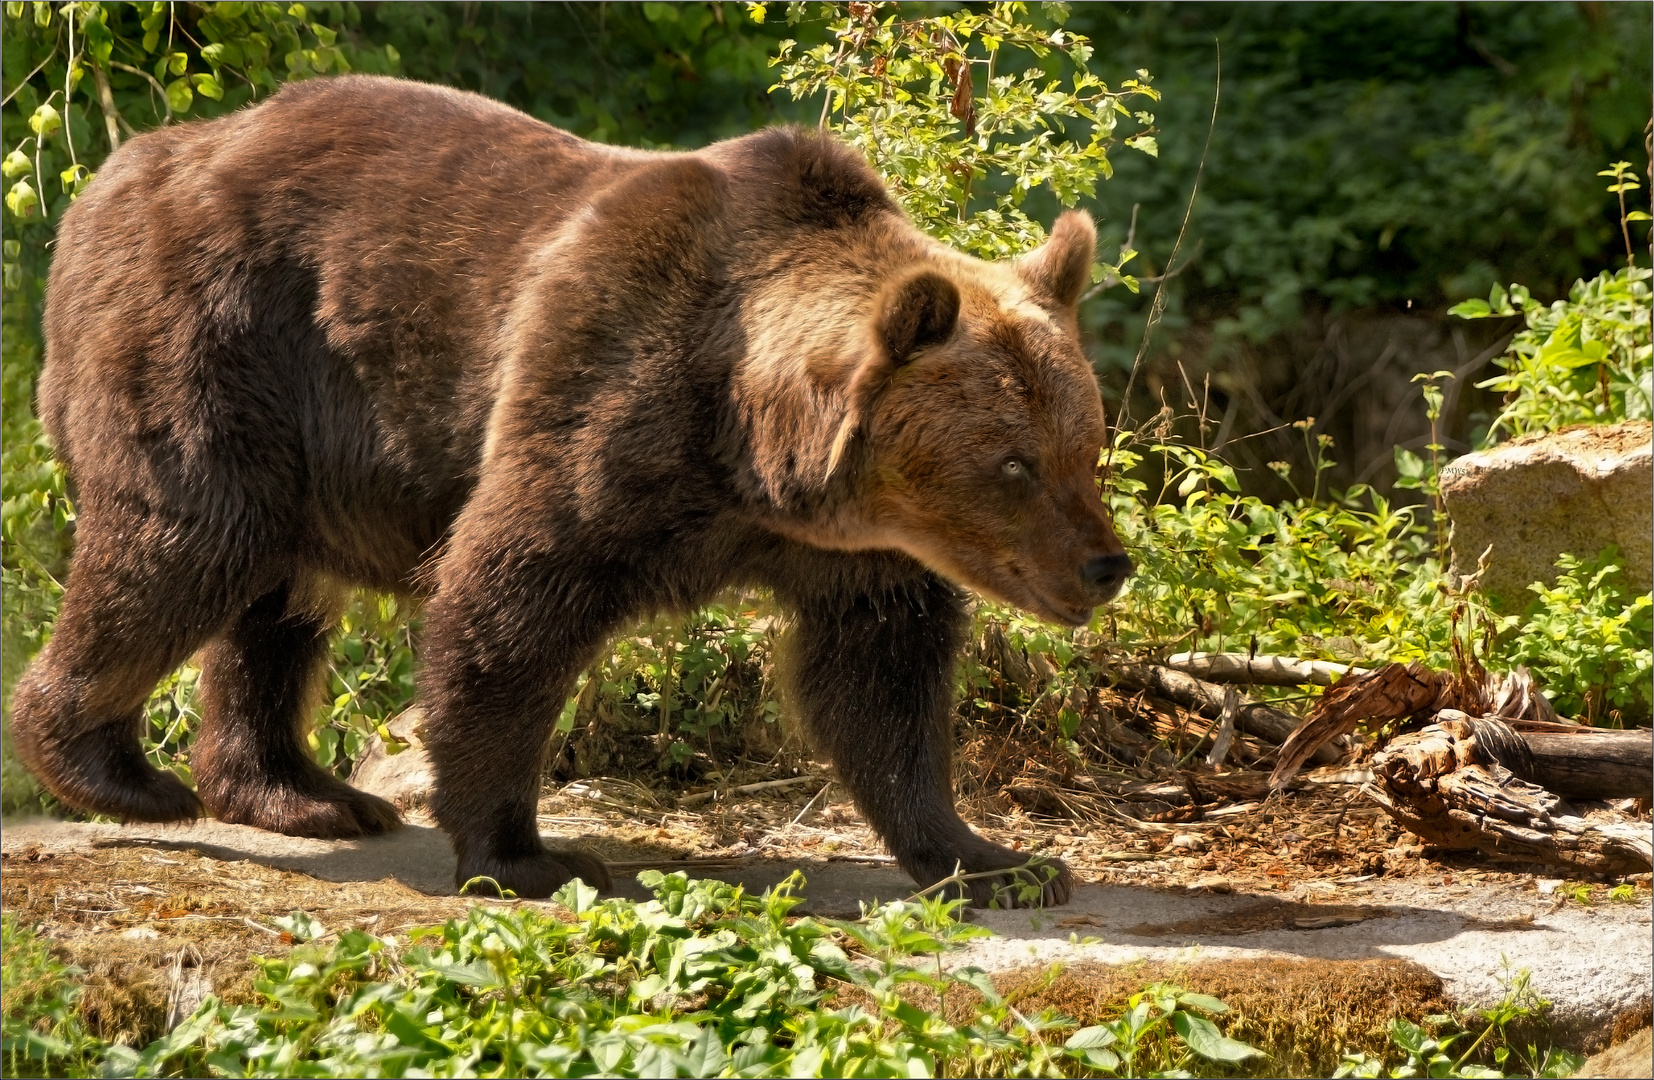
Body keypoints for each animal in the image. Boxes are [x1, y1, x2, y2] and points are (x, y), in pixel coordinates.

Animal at [6, 73, 1131, 899]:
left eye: (1086, 445)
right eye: (1013, 463)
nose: (1105, 564)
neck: (751, 453)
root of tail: (124, 166)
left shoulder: (853, 554)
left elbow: (883, 679)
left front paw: (995, 861)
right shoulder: (604, 392)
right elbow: (510, 606)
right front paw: (529, 854)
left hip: (302, 435)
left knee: (274, 598)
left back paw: (303, 793)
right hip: (221, 338)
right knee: (183, 546)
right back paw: (115, 771)